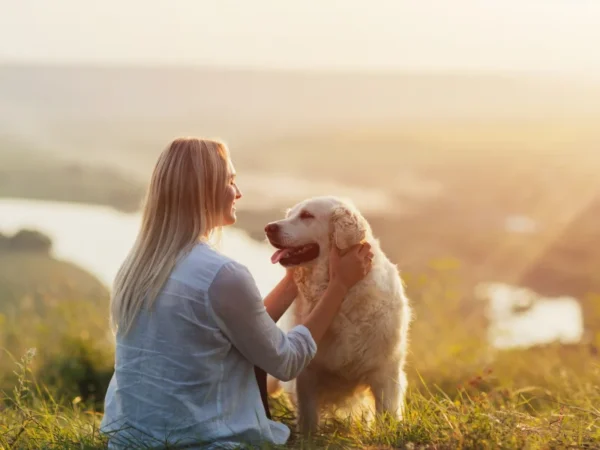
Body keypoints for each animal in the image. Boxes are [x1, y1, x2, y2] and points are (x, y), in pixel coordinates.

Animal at [266, 195, 412, 434]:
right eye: (289, 215)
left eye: (307, 215)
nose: (269, 227)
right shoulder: (307, 373)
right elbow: (308, 418)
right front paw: (309, 438)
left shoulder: (384, 370)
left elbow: (386, 414)